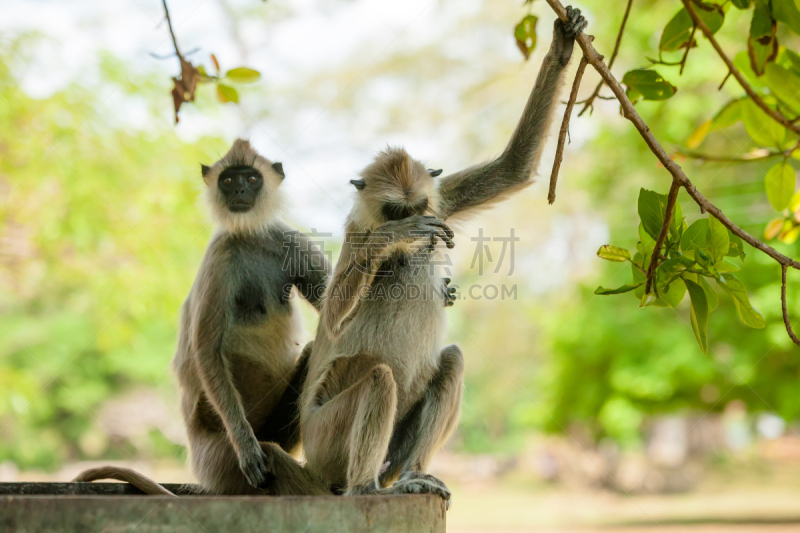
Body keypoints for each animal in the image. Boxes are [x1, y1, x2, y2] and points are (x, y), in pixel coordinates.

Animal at [76, 138, 332, 494]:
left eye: (251, 178)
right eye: (229, 179)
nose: (239, 189)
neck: (248, 236)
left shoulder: (288, 240)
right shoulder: (219, 258)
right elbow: (205, 350)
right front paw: (247, 449)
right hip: (217, 458)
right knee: (268, 455)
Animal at [294, 8, 588, 502]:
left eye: (419, 205)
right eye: (396, 212)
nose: (413, 224)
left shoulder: (441, 203)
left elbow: (514, 168)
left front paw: (563, 46)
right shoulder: (357, 232)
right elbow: (333, 317)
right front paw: (395, 238)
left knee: (451, 360)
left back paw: (411, 473)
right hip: (322, 437)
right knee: (379, 377)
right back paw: (365, 488)